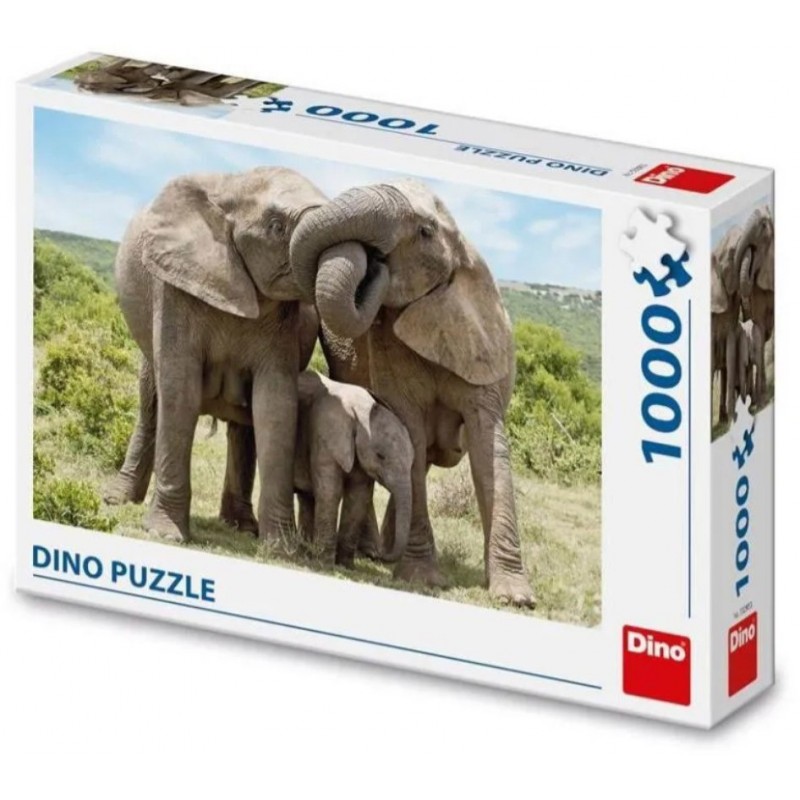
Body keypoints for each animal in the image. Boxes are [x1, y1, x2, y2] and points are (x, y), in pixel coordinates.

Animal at [104, 166, 326, 544]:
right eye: (276, 227)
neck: (235, 187)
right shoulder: (175, 285)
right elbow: (180, 391)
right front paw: (166, 534)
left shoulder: (286, 321)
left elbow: (275, 404)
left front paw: (281, 548)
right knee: (151, 404)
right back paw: (117, 500)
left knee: (243, 425)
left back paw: (242, 526)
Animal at [292, 371, 414, 566]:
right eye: (380, 456)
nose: (376, 554)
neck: (361, 411)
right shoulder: (325, 434)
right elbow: (330, 492)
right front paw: (325, 563)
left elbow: (359, 495)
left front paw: (344, 565)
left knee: (307, 497)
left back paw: (306, 550)